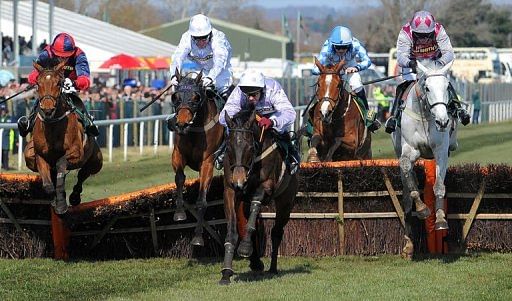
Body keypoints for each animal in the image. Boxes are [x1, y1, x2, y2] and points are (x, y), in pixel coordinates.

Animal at [24, 58, 103, 213]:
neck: (52, 126)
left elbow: (61, 163)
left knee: (83, 174)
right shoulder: (40, 156)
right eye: (38, 83)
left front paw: (61, 203)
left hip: (96, 162)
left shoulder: (76, 153)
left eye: (58, 83)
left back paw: (74, 197)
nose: (47, 110)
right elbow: (48, 185)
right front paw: (55, 200)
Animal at [170, 68, 224, 246]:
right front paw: (179, 213)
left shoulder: (208, 162)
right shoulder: (177, 154)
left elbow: (202, 200)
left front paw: (198, 236)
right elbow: (180, 178)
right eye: (175, 96)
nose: (182, 124)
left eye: (196, 97)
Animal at [218, 109, 298, 284]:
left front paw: (245, 247)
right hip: (243, 201)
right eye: (229, 147)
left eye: (249, 147)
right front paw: (226, 272)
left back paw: (272, 268)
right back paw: (255, 262)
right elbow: (233, 231)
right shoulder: (230, 190)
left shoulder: (266, 186)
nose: (239, 181)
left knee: (276, 232)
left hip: (286, 201)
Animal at [392, 59, 460, 258]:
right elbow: (411, 183)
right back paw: (408, 245)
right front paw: (422, 209)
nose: (443, 121)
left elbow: (438, 185)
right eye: (427, 88)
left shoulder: (441, 151)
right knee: (407, 192)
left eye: (447, 86)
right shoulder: (409, 151)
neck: (425, 115)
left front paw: (440, 219)